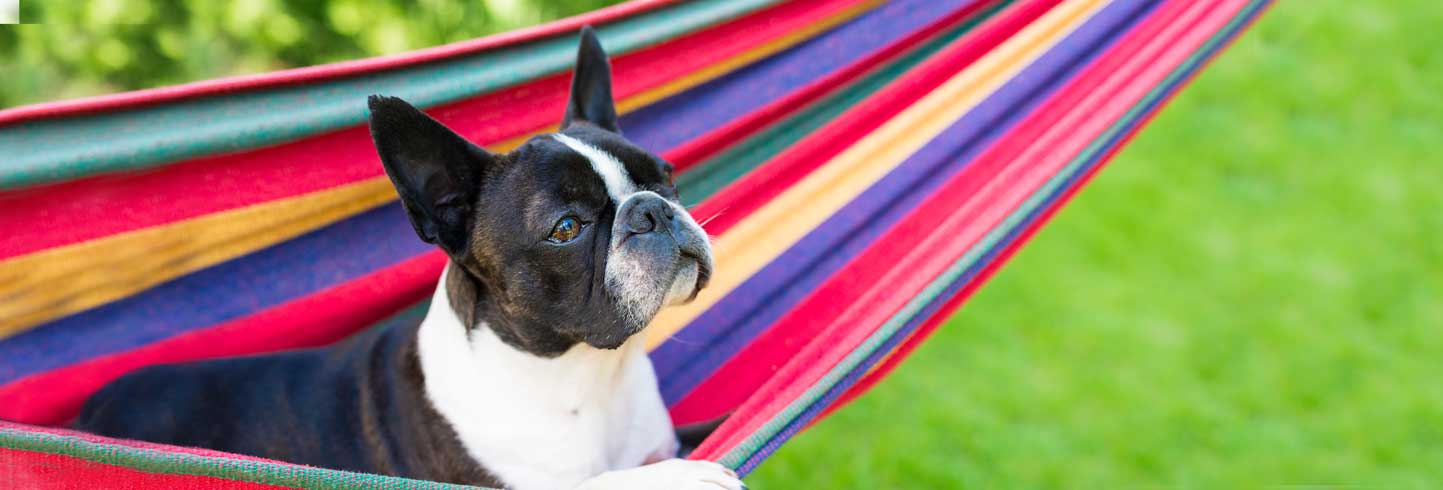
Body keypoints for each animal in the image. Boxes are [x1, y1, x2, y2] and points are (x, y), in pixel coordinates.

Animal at [76, 27, 744, 489]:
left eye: (666, 178)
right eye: (567, 228)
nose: (652, 210)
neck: (584, 374)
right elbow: (600, 485)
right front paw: (681, 477)